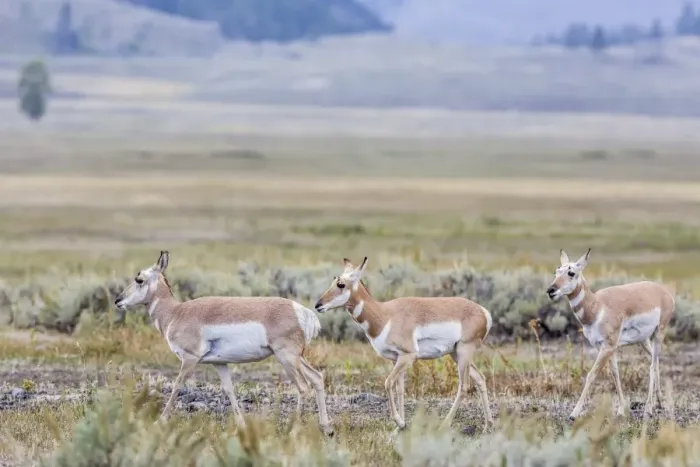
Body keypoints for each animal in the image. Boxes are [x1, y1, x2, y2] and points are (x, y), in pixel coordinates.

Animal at [113, 251, 334, 436]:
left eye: (139, 279)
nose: (118, 301)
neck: (176, 312)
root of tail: (302, 311)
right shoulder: (219, 363)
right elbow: (229, 390)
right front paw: (241, 425)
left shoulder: (189, 359)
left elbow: (177, 386)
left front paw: (160, 421)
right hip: (296, 358)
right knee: (316, 378)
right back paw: (326, 428)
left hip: (286, 357)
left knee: (303, 387)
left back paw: (294, 429)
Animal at [314, 257, 494, 431]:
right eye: (334, 281)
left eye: (341, 284)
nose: (318, 305)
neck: (385, 315)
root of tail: (484, 311)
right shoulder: (397, 359)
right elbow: (399, 389)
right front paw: (402, 425)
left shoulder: (408, 356)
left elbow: (387, 383)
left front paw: (399, 422)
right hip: (456, 354)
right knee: (480, 378)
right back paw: (488, 425)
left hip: (464, 352)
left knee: (464, 386)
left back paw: (445, 425)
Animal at [546, 248, 675, 421]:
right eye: (556, 271)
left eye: (571, 272)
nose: (551, 290)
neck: (597, 306)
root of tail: (664, 292)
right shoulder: (607, 348)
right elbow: (615, 374)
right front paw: (621, 410)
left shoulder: (608, 347)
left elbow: (592, 374)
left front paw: (574, 413)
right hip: (644, 341)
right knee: (657, 362)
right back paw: (659, 403)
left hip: (659, 334)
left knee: (652, 366)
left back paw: (648, 409)